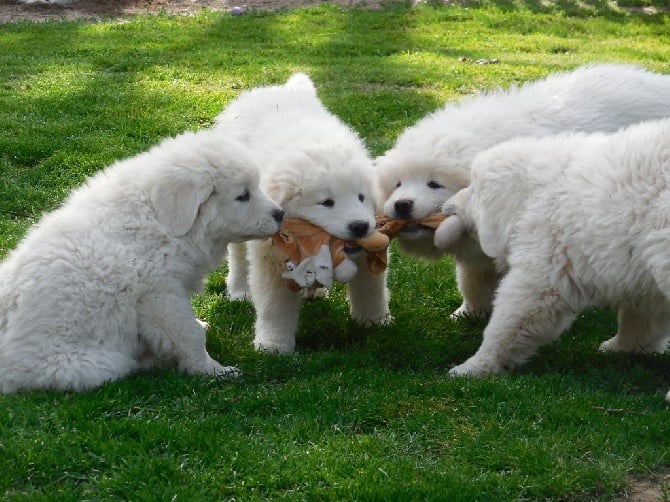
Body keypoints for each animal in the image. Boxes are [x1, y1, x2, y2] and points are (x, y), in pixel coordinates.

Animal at [0, 130, 284, 396]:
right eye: (243, 195)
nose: (280, 214)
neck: (158, 216)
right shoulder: (159, 295)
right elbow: (189, 334)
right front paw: (213, 370)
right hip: (94, 364)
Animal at [215, 73, 392, 352]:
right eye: (327, 202)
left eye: (362, 197)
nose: (361, 226)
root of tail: (269, 89)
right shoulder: (272, 254)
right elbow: (274, 304)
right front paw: (273, 345)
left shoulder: (366, 249)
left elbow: (370, 288)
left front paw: (375, 321)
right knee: (239, 256)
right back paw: (239, 289)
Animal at [376, 64, 670, 320]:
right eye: (397, 184)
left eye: (434, 183)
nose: (402, 204)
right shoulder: (478, 247)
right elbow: (473, 279)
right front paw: (469, 312)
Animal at [436, 118, 670, 392]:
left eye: (473, 188)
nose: (448, 206)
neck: (534, 197)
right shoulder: (641, 274)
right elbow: (642, 318)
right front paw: (621, 348)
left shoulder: (544, 270)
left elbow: (508, 323)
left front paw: (473, 368)